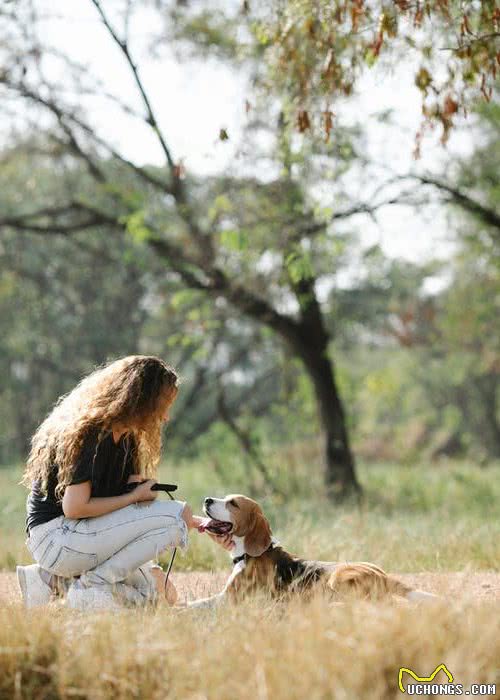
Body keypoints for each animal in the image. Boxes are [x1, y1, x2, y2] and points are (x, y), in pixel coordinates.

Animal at [188, 492, 438, 608]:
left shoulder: (229, 599)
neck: (249, 554)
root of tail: (383, 576)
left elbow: (198, 604)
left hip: (338, 576)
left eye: (233, 503)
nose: (207, 499)